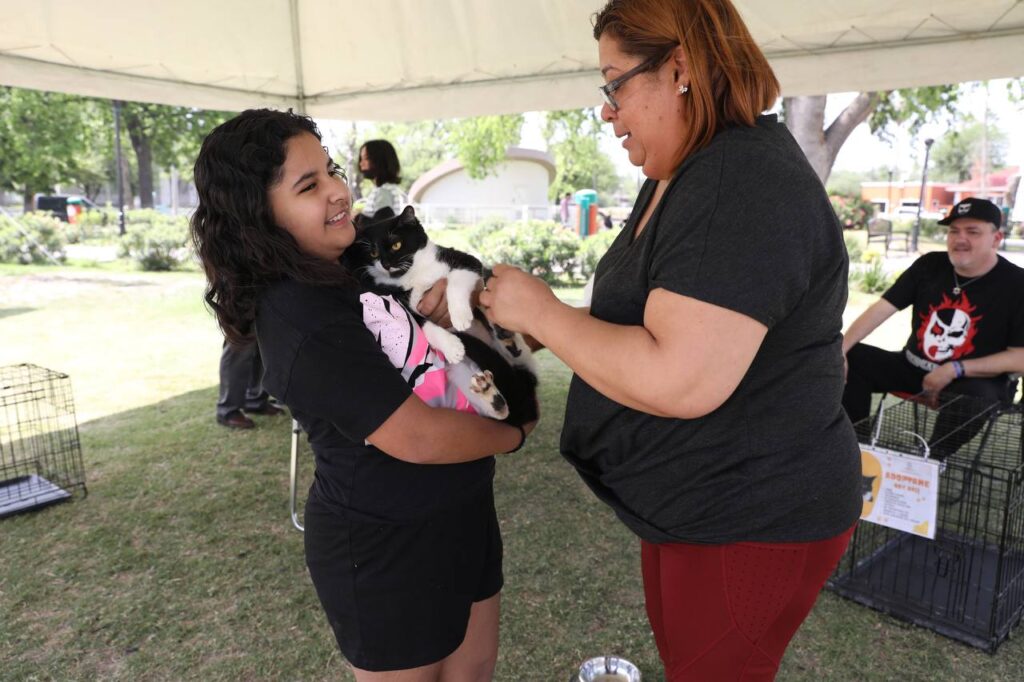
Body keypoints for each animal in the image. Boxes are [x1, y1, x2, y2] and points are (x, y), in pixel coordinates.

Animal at [356, 204, 540, 421]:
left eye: (396, 245)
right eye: (374, 252)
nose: (385, 264)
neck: (414, 274)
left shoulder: (466, 260)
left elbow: (455, 282)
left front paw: (460, 316)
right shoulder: (402, 299)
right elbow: (422, 322)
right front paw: (452, 347)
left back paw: (506, 338)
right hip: (461, 371)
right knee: (498, 410)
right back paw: (491, 396)